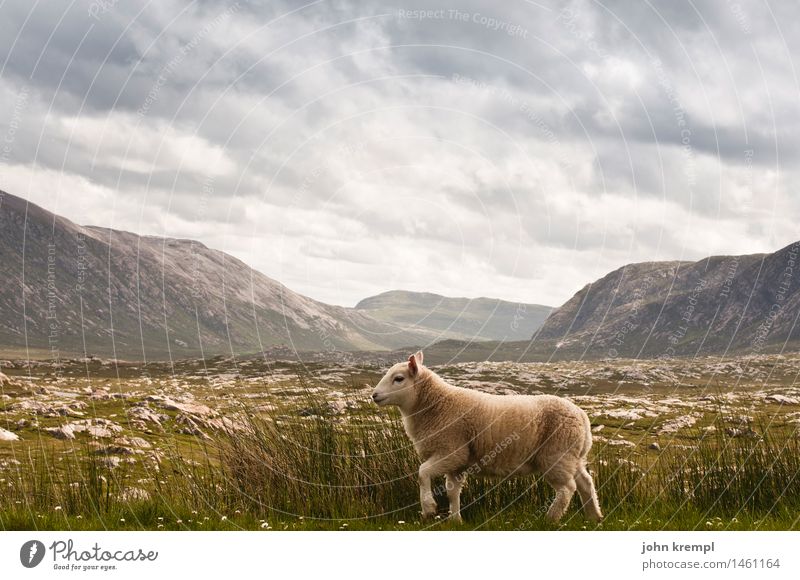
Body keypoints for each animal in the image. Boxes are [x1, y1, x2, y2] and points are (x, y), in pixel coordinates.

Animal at [372, 352, 604, 524]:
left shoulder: (451, 451)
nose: (374, 395)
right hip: (573, 456)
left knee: (567, 489)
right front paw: (455, 520)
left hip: (556, 454)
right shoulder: (458, 461)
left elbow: (422, 472)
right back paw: (594, 517)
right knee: (586, 483)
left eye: (398, 379)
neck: (434, 406)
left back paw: (550, 519)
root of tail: (581, 416)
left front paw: (429, 508)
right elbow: (453, 492)